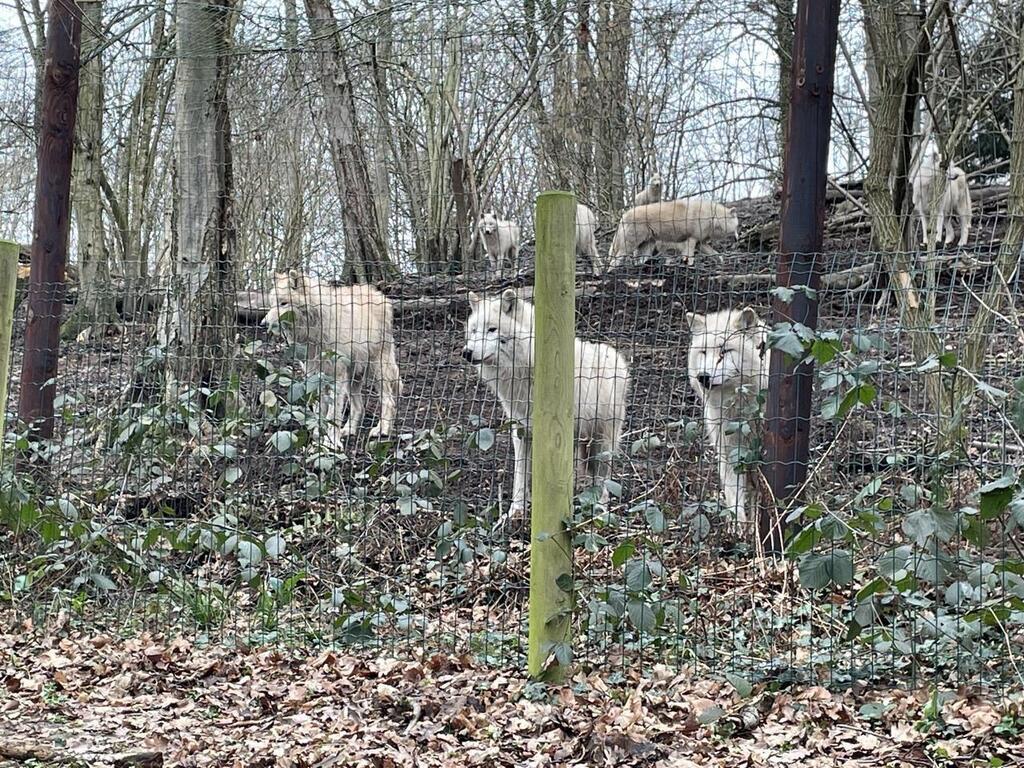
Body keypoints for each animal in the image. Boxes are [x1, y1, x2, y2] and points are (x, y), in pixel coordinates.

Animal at [264, 274, 399, 448]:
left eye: (283, 303)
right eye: (272, 304)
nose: (264, 323)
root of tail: (379, 294)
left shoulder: (337, 376)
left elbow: (333, 413)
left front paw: (331, 442)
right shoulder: (314, 375)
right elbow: (319, 409)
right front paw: (318, 436)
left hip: (377, 369)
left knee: (389, 401)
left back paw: (382, 430)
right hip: (353, 377)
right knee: (359, 406)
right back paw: (348, 430)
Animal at [460, 288, 626, 518]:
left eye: (492, 329)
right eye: (474, 331)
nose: (466, 352)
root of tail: (618, 358)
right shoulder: (521, 429)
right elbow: (521, 473)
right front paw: (516, 509)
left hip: (602, 440)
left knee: (603, 478)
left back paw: (599, 509)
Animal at [602, 198, 741, 276]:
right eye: (736, 227)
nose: (737, 239)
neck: (712, 217)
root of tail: (624, 215)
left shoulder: (700, 243)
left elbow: (717, 256)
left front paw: (721, 265)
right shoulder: (691, 240)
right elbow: (689, 257)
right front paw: (689, 267)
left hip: (647, 247)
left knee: (638, 262)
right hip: (629, 246)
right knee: (614, 260)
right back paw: (610, 274)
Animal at [688, 307, 770, 528]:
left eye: (724, 351)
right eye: (703, 352)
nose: (703, 377)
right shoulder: (730, 452)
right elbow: (734, 494)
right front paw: (738, 527)